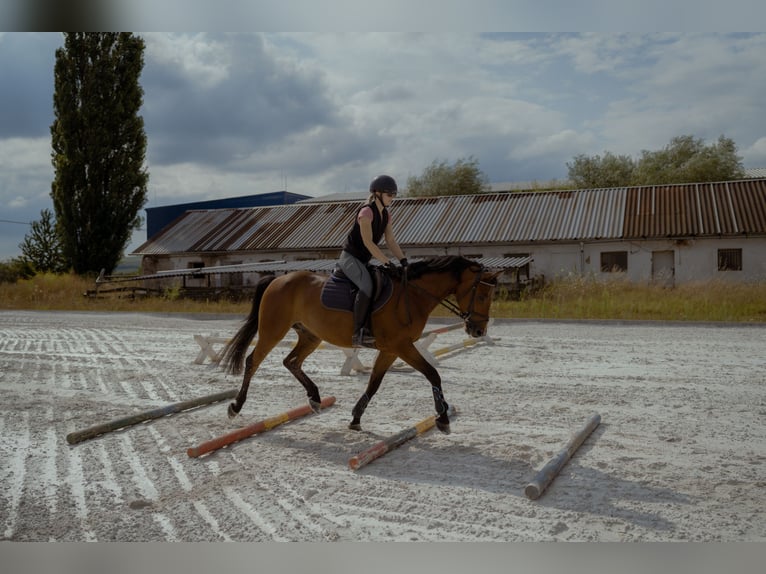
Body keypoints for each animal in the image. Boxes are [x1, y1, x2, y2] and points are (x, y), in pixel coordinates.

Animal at [219, 254, 504, 434]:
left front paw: (356, 418)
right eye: (481, 295)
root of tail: (277, 279)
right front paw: (443, 419)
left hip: (311, 335)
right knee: (253, 361)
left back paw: (315, 398)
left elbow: (374, 383)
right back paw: (236, 406)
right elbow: (433, 374)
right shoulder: (402, 347)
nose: (479, 330)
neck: (413, 295)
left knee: (291, 361)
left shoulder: (391, 350)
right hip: (273, 330)